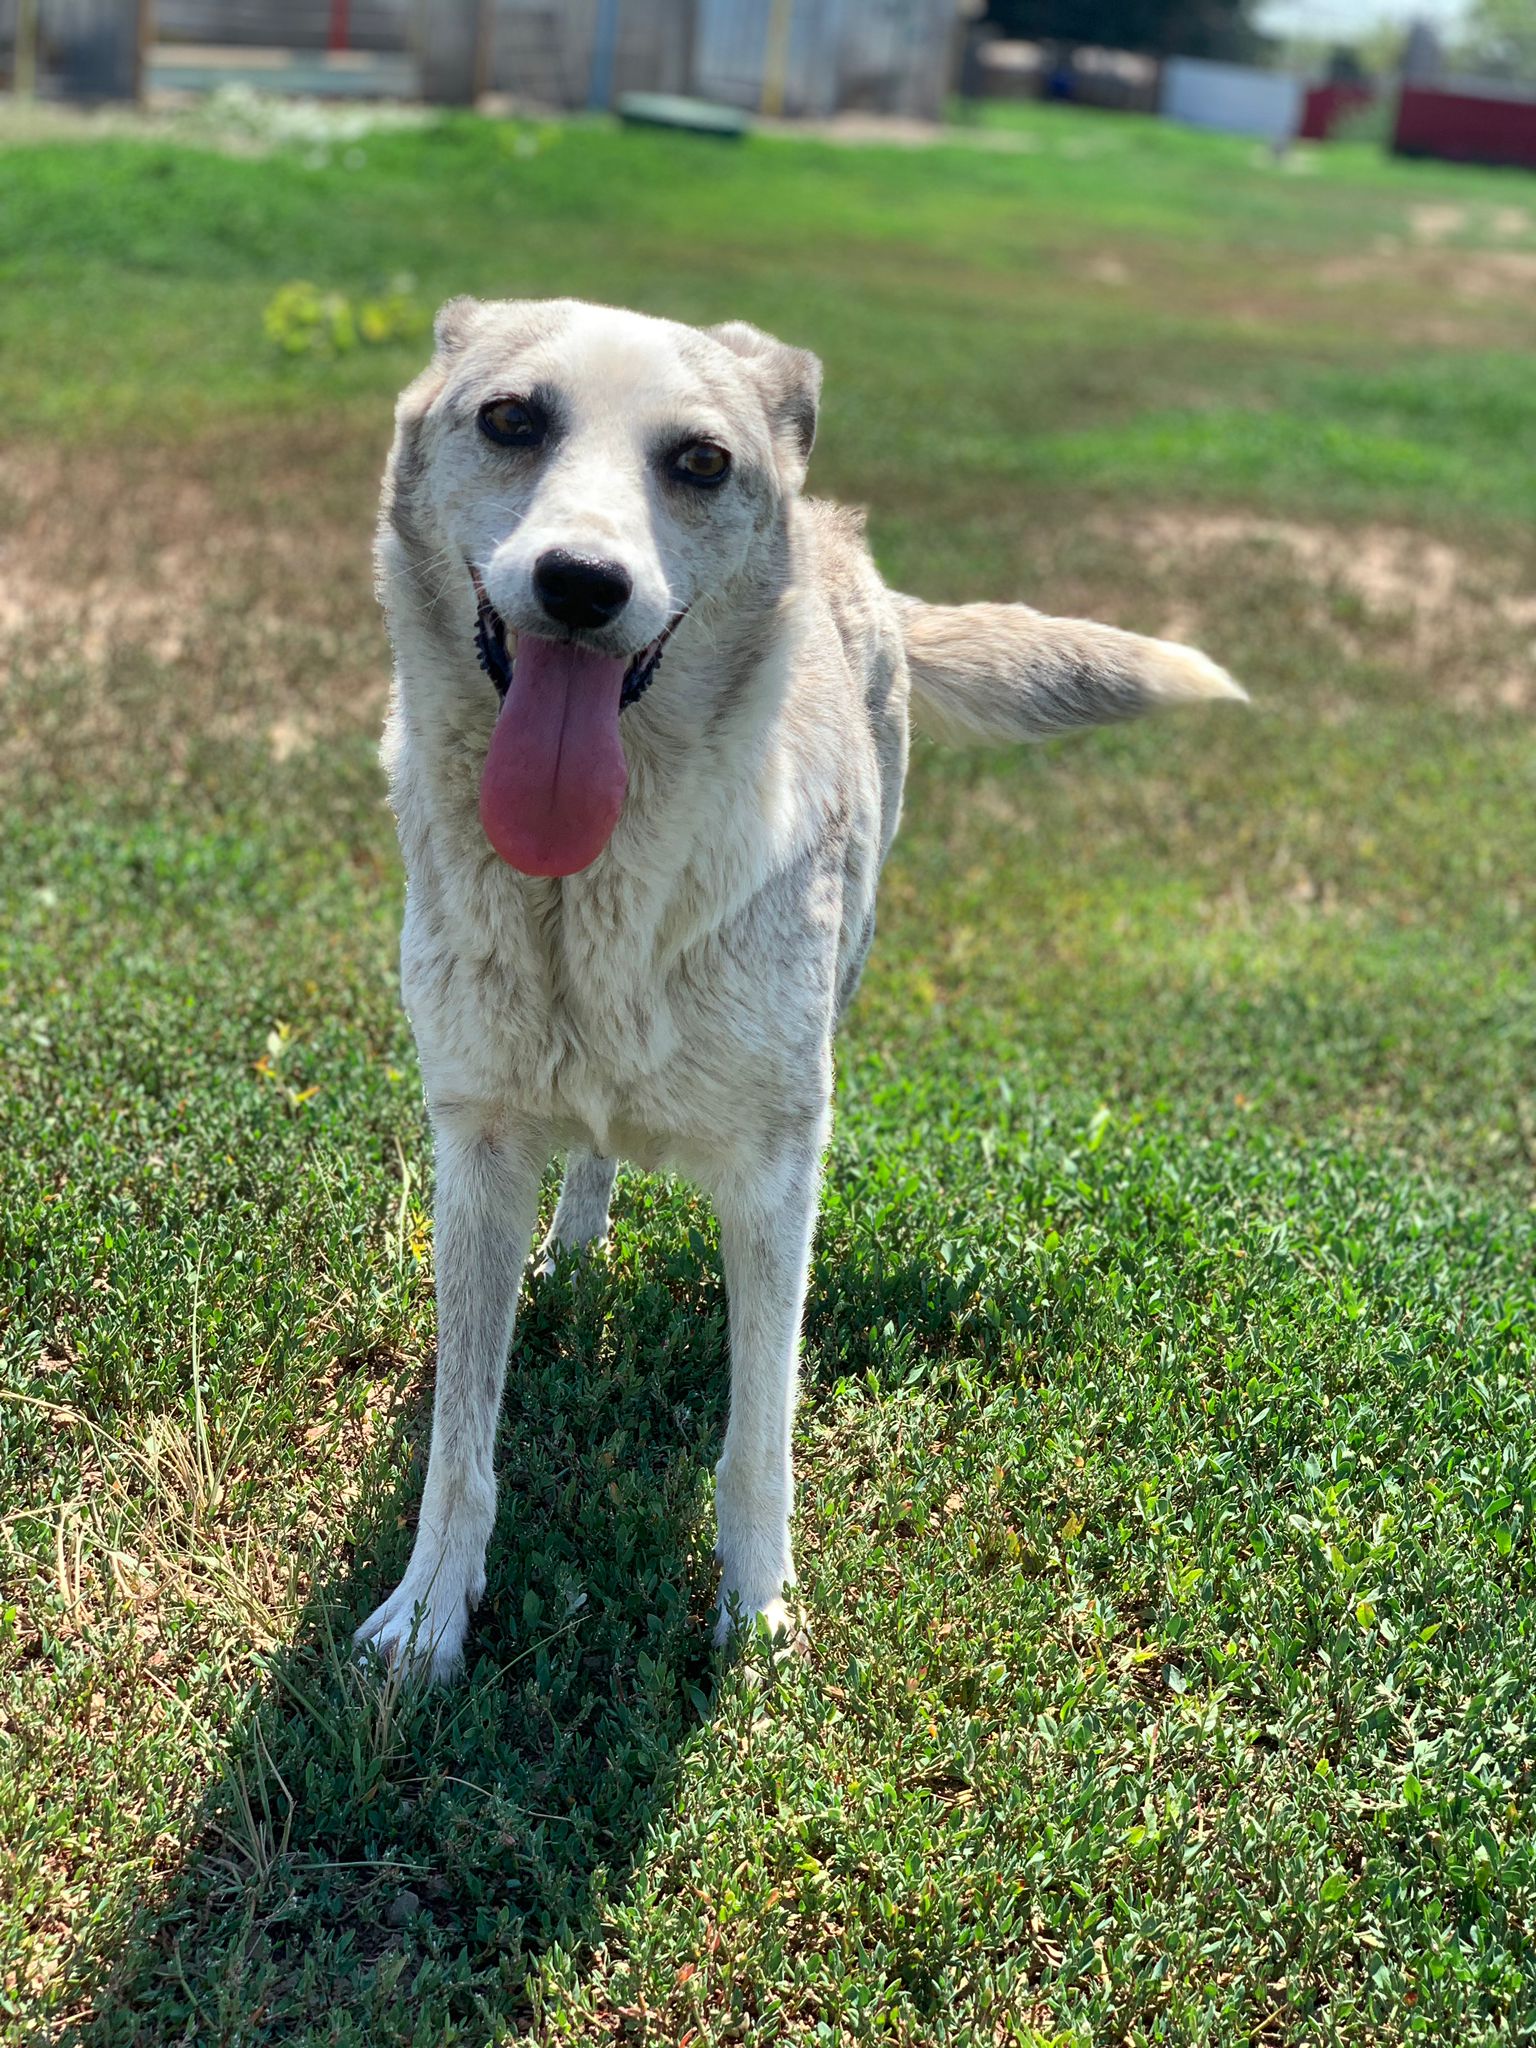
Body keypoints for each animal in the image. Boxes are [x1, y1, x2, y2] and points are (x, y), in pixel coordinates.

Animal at [355, 296, 1243, 1680]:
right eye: (509, 419)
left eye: (699, 461)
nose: (582, 582)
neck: (593, 885)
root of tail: (841, 533)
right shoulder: (479, 1146)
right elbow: (463, 1441)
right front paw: (431, 1614)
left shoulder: (777, 1170)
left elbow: (756, 1433)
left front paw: (756, 1615)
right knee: (592, 1151)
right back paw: (579, 1247)